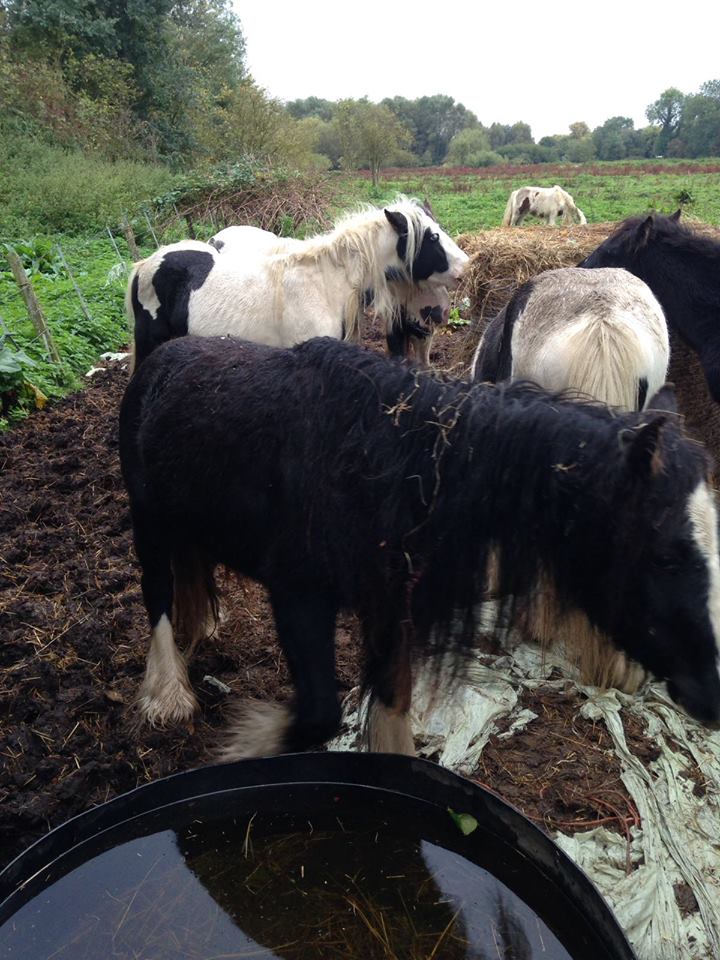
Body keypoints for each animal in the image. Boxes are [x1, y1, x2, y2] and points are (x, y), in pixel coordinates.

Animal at [119, 336, 720, 758]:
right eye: (666, 555)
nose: (713, 688)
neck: (392, 460)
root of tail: (158, 357)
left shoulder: (390, 605)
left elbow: (392, 699)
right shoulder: (298, 593)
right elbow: (319, 714)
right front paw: (245, 749)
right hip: (148, 522)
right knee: (158, 593)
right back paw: (167, 696)